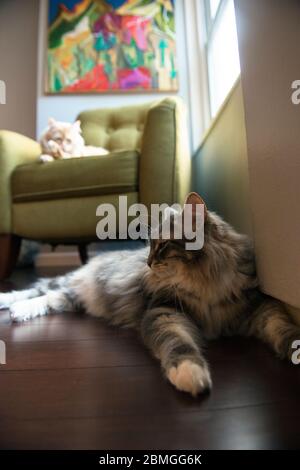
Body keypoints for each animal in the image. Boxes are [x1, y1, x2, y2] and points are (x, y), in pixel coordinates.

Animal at [1, 193, 298, 394]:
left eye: (163, 245)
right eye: (150, 245)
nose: (147, 262)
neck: (206, 285)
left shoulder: (258, 307)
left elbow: (282, 326)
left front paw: (295, 348)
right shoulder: (164, 312)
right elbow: (178, 343)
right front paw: (190, 373)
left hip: (70, 299)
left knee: (49, 299)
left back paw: (19, 313)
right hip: (68, 284)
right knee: (34, 289)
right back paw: (9, 305)